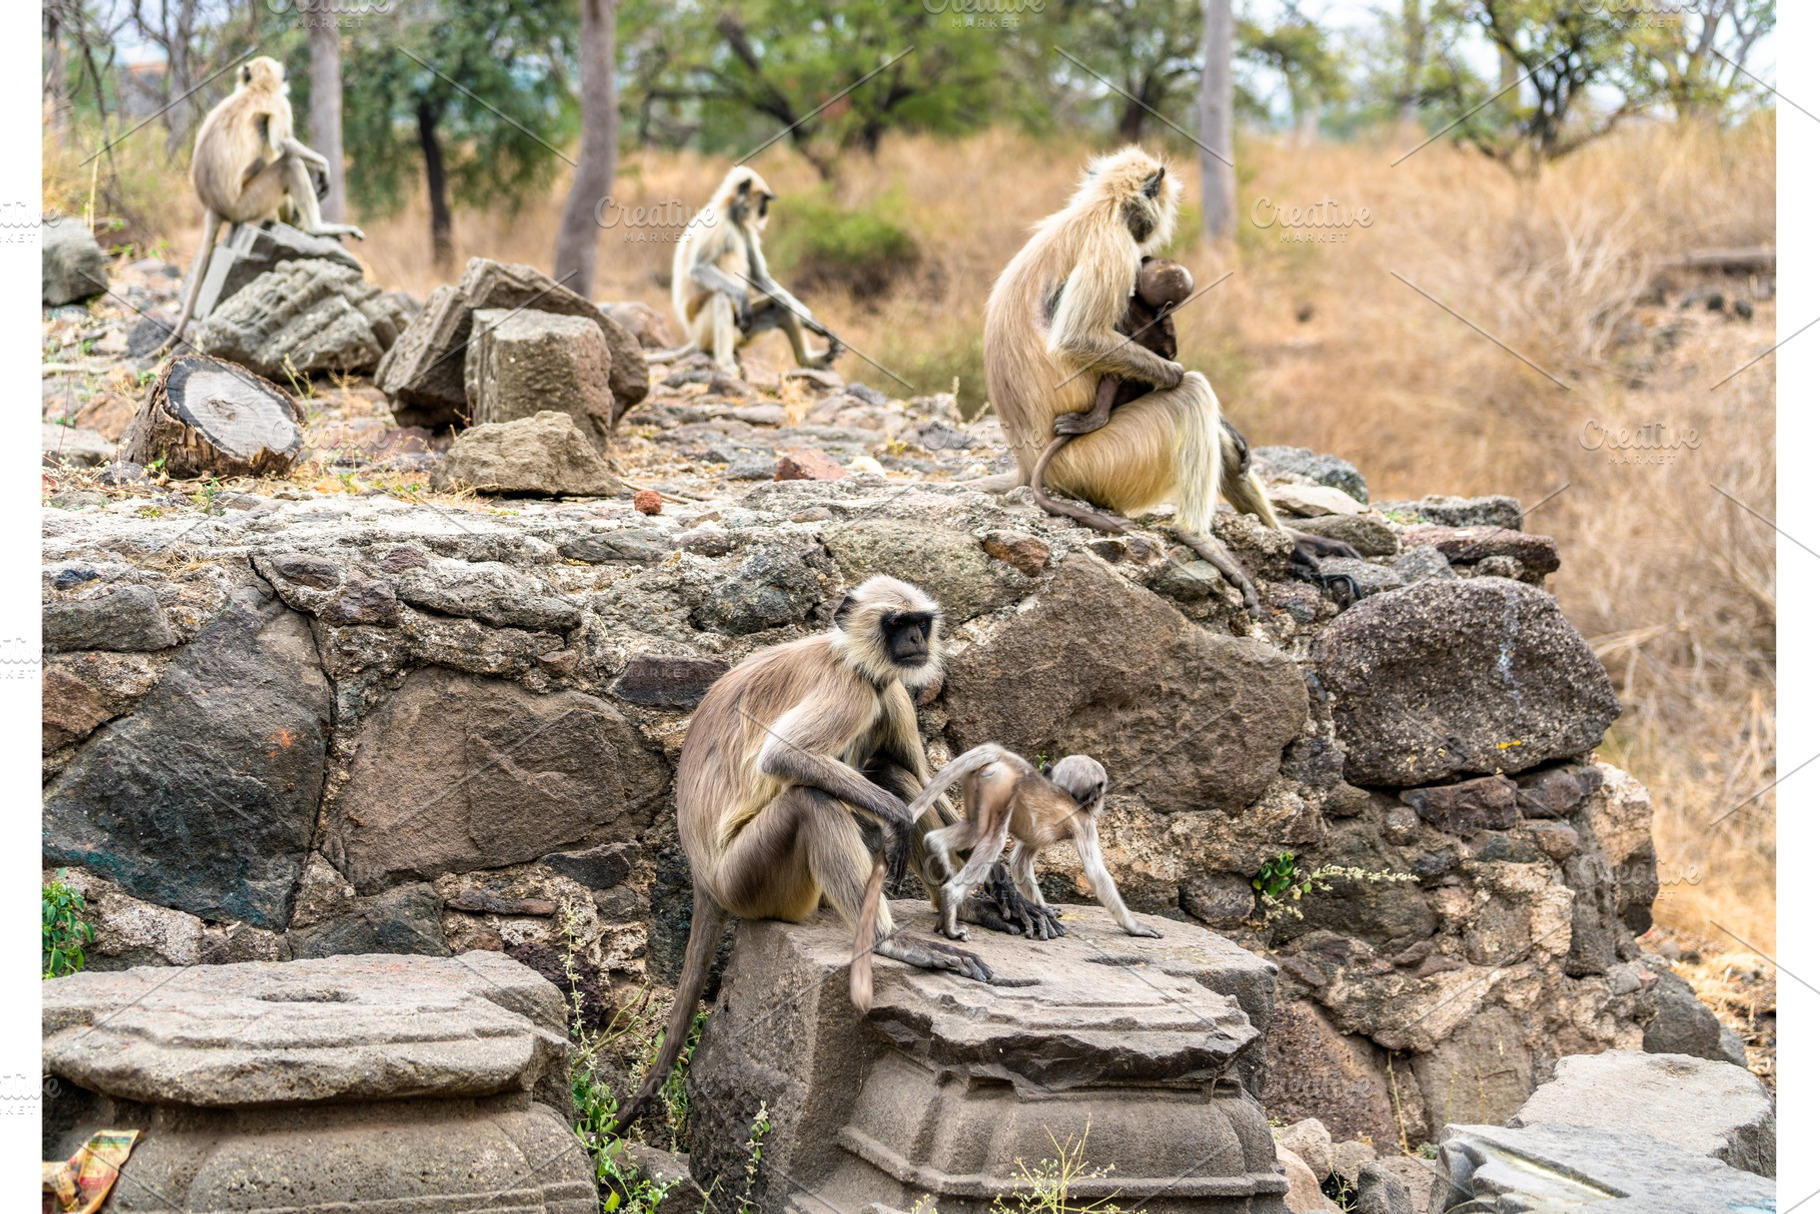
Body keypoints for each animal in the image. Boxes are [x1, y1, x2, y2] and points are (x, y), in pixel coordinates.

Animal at [155, 57, 364, 358]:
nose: (285, 72)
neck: (255, 89)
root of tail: (213, 207)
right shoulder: (278, 102)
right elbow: (282, 143)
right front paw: (323, 167)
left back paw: (294, 224)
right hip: (248, 203)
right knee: (287, 162)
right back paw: (315, 228)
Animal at [610, 576, 1028, 1133]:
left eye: (920, 623)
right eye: (897, 623)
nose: (916, 642)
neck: (848, 655)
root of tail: (703, 877)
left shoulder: (888, 687)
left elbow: (918, 774)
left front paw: (1002, 884)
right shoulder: (851, 687)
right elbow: (784, 758)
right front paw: (900, 824)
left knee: (891, 770)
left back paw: (960, 908)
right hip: (750, 879)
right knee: (812, 798)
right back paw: (892, 942)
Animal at [668, 165, 843, 376]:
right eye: (764, 199)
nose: (765, 210)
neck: (731, 214)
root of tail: (694, 338)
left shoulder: (745, 228)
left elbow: (759, 278)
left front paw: (811, 322)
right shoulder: (718, 224)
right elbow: (698, 267)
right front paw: (742, 298)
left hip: (745, 332)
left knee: (781, 302)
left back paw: (809, 360)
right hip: (704, 332)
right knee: (722, 296)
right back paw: (726, 363)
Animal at [909, 744, 1162, 942]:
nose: (1100, 802)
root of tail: (1006, 757)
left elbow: (1019, 862)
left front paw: (1044, 910)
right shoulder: (1085, 823)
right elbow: (1096, 875)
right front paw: (1135, 927)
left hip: (976, 783)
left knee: (973, 828)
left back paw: (936, 846)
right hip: (1001, 784)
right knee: (993, 839)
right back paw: (951, 899)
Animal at [981, 147, 1360, 614]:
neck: (1099, 207)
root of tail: (1025, 463)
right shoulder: (1116, 246)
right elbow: (1081, 338)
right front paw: (1174, 371)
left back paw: (1292, 541)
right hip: (1097, 463)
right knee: (1192, 395)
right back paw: (1197, 535)